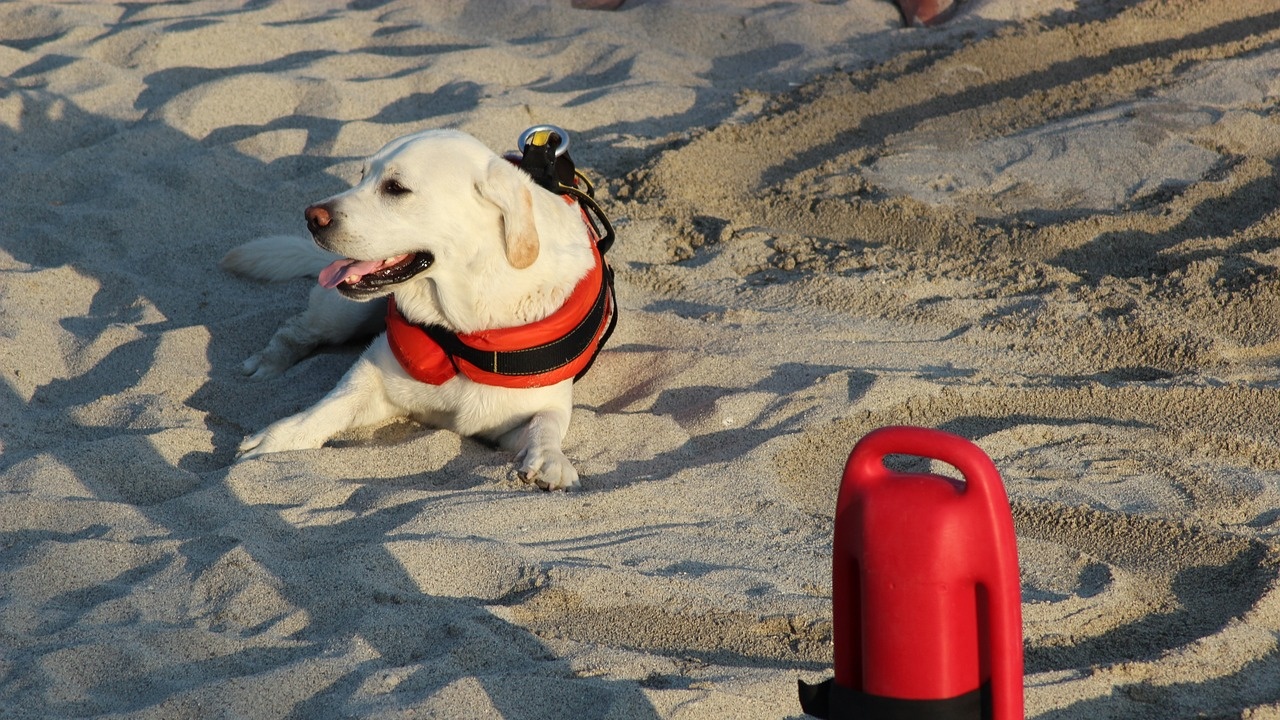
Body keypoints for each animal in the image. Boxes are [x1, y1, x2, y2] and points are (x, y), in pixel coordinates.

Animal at [225, 127, 614, 486]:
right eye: (361, 175)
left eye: (396, 188)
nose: (311, 217)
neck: (463, 323)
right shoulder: (375, 376)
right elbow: (329, 407)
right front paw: (277, 439)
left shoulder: (534, 409)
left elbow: (546, 424)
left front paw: (549, 459)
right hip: (343, 312)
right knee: (298, 329)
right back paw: (269, 362)